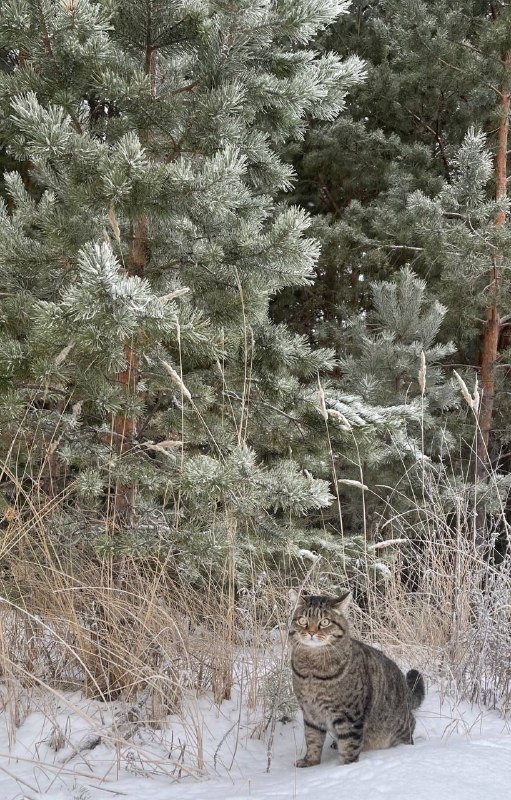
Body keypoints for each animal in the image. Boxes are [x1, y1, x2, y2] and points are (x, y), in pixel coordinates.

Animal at [290, 588, 426, 768]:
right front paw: (310, 761)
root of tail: (405, 689)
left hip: (398, 724)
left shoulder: (350, 717)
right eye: (303, 620)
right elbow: (312, 739)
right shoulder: (310, 713)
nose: (311, 632)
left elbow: (349, 746)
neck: (311, 670)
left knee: (410, 728)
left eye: (325, 622)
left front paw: (345, 768)